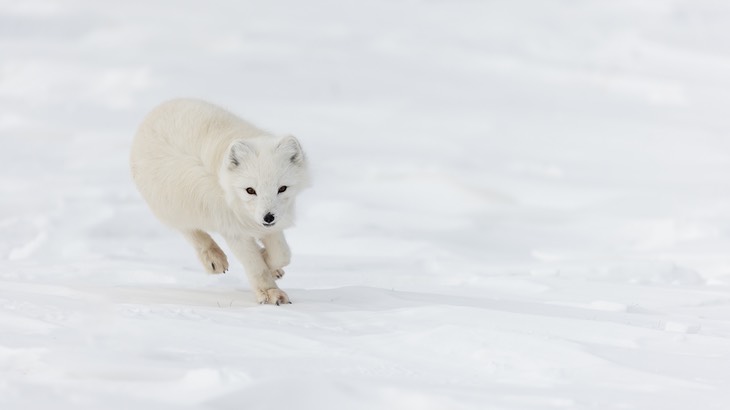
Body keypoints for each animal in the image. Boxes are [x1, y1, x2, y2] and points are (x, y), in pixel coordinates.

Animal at [129, 98, 308, 304]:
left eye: (282, 188)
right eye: (250, 190)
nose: (268, 217)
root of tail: (158, 108)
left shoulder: (268, 224)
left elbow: (283, 254)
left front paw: (268, 260)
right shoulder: (232, 228)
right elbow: (255, 265)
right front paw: (269, 292)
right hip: (171, 208)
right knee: (192, 233)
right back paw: (214, 258)